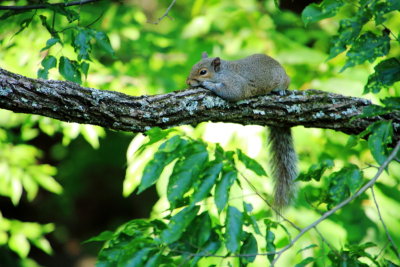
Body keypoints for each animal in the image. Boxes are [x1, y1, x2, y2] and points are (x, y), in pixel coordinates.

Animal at [185, 52, 296, 211]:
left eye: (203, 72)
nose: (188, 82)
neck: (223, 72)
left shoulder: (236, 84)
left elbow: (231, 92)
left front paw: (208, 85)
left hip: (283, 80)